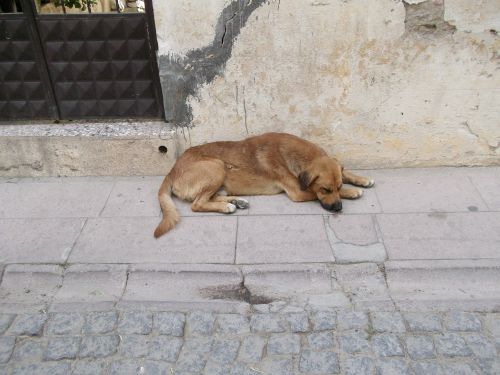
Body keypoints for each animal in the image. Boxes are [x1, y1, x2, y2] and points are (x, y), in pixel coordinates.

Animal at [154, 132, 374, 238]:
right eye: (325, 190)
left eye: (337, 187)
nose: (338, 208)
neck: (295, 155)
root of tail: (172, 170)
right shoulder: (298, 192)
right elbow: (312, 192)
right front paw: (353, 191)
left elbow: (344, 172)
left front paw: (361, 180)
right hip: (216, 166)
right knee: (197, 204)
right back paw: (227, 207)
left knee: (210, 197)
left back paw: (237, 201)